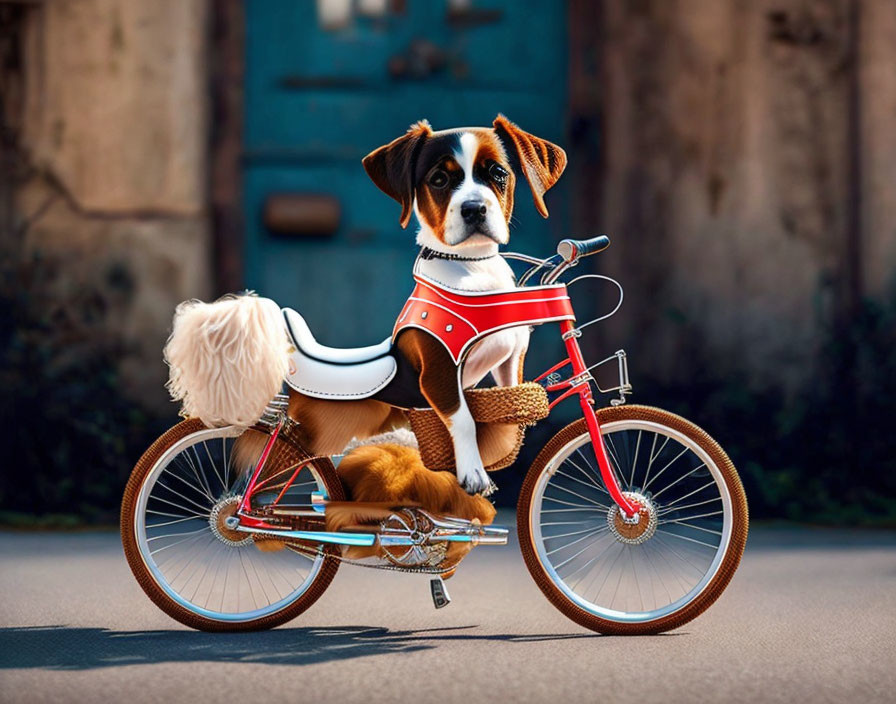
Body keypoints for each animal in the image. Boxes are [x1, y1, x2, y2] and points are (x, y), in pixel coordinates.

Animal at [164, 114, 564, 500]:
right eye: (438, 179)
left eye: (498, 174)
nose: (474, 209)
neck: (471, 267)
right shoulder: (437, 372)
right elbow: (463, 419)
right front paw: (474, 474)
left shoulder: (510, 360)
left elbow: (509, 405)